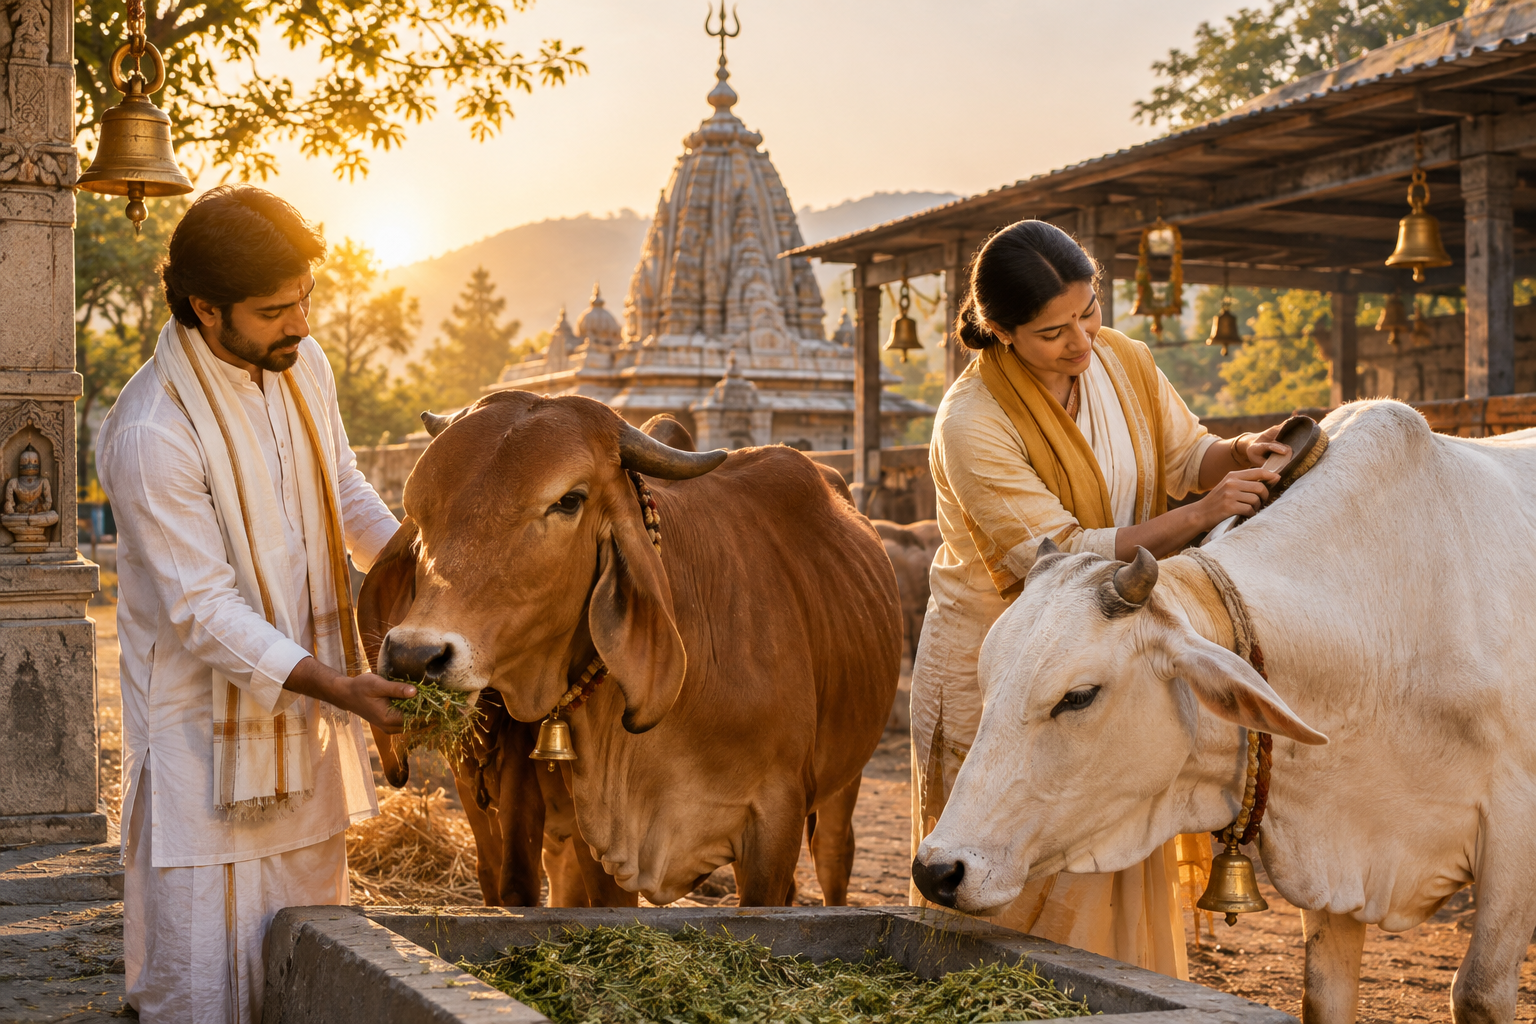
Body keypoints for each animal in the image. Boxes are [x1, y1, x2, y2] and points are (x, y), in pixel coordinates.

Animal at [363, 391, 901, 908]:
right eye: (418, 508)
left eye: (569, 500)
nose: (414, 656)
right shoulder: (594, 832)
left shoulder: (776, 820)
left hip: (842, 784)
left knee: (833, 858)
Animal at [911, 401, 1536, 1024]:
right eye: (987, 682)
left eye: (1079, 695)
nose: (937, 871)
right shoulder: (1334, 857)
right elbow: (1323, 994)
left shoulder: (1515, 836)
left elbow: (1478, 990)